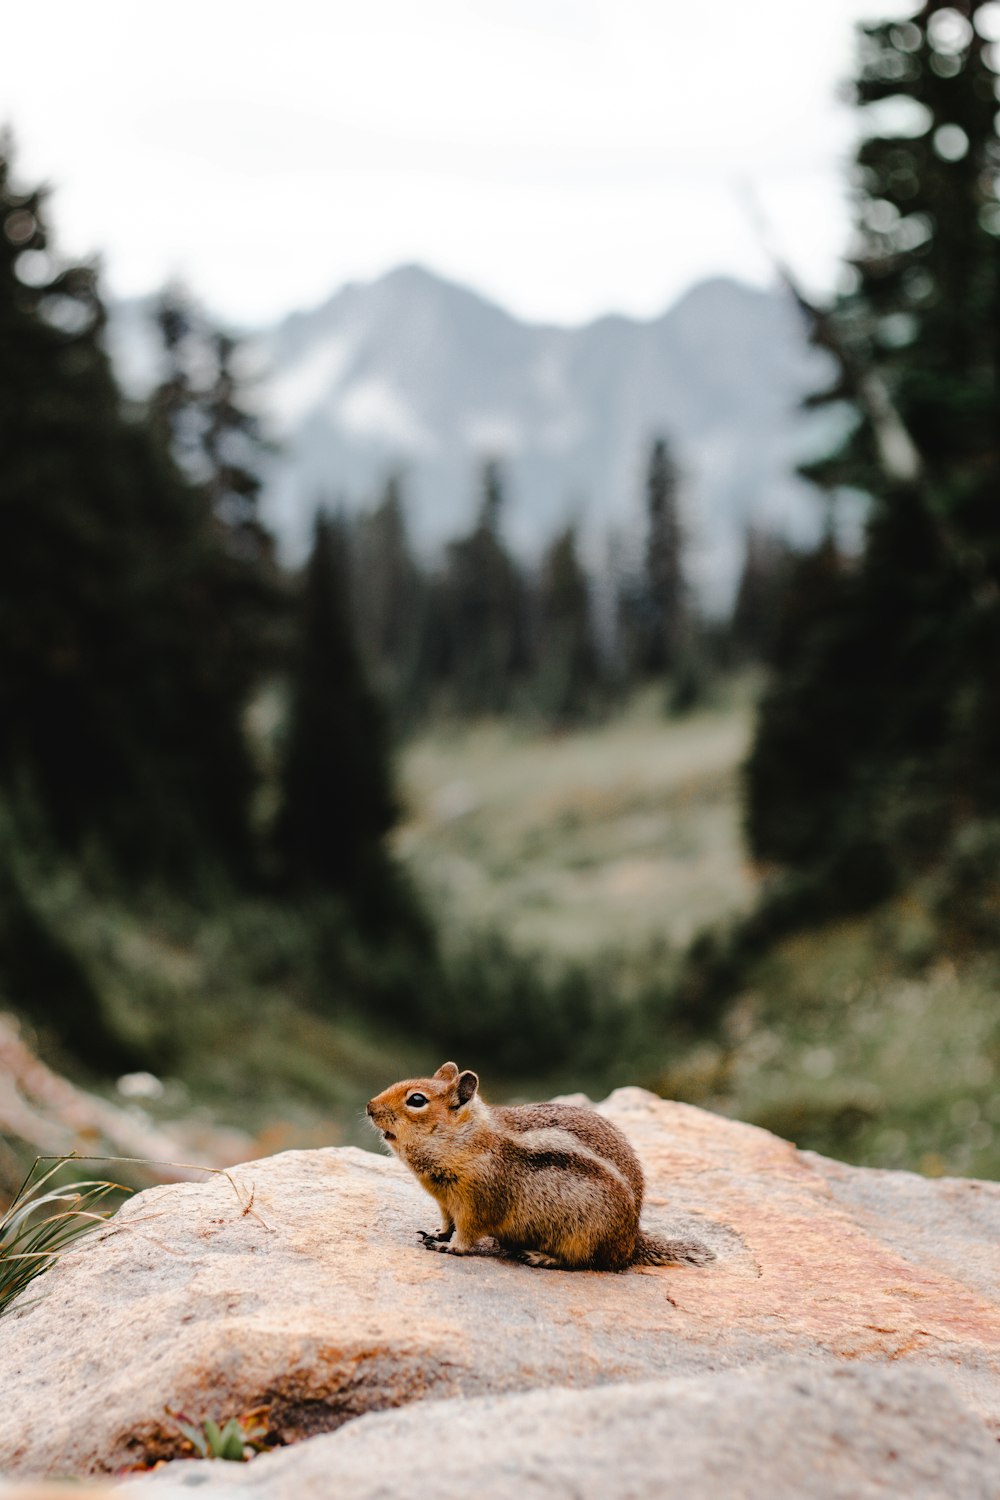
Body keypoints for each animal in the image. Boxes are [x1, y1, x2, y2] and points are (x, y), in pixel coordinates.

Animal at [365, 1062, 710, 1272]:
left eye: (417, 1100)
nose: (369, 1107)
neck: (467, 1140)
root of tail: (631, 1242)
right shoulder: (446, 1202)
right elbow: (447, 1222)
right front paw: (438, 1234)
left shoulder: (479, 1202)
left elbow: (467, 1233)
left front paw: (449, 1248)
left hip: (583, 1236)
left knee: (584, 1262)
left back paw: (539, 1256)